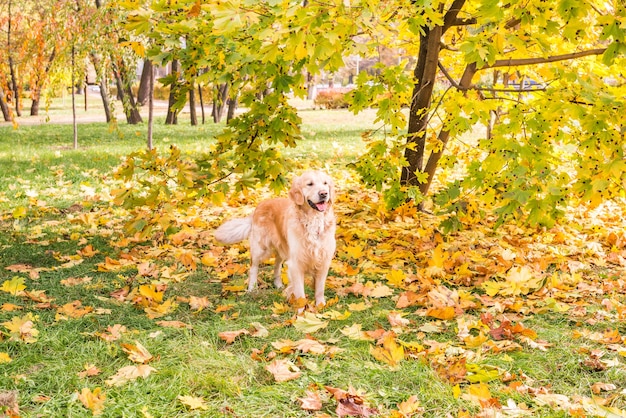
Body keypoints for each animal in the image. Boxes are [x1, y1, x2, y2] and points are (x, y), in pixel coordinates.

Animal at [214, 169, 334, 306]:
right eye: (310, 184)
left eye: (325, 183)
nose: (324, 193)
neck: (314, 221)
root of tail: (260, 204)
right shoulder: (296, 263)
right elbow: (300, 293)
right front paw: (301, 309)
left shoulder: (323, 261)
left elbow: (319, 290)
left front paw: (320, 307)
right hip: (260, 247)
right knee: (253, 267)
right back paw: (252, 288)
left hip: (282, 248)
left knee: (276, 266)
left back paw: (278, 284)